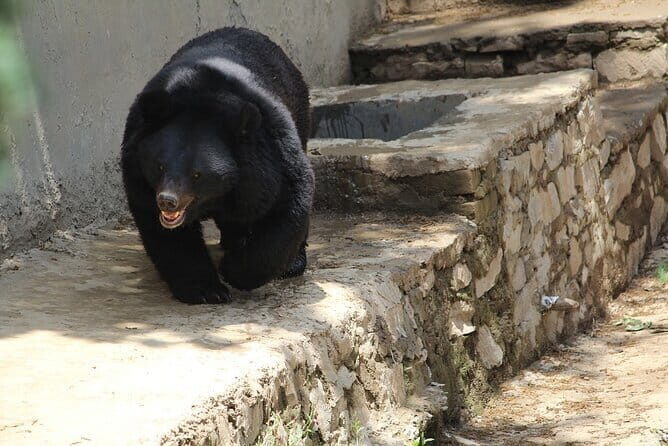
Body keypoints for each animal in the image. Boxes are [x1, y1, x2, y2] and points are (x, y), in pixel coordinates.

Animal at [120, 27, 313, 304]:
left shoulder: (270, 153)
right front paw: (206, 290)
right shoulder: (137, 168)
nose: (168, 201)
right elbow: (166, 232)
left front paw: (234, 270)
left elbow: (288, 203)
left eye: (197, 174)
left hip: (299, 110)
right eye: (159, 166)